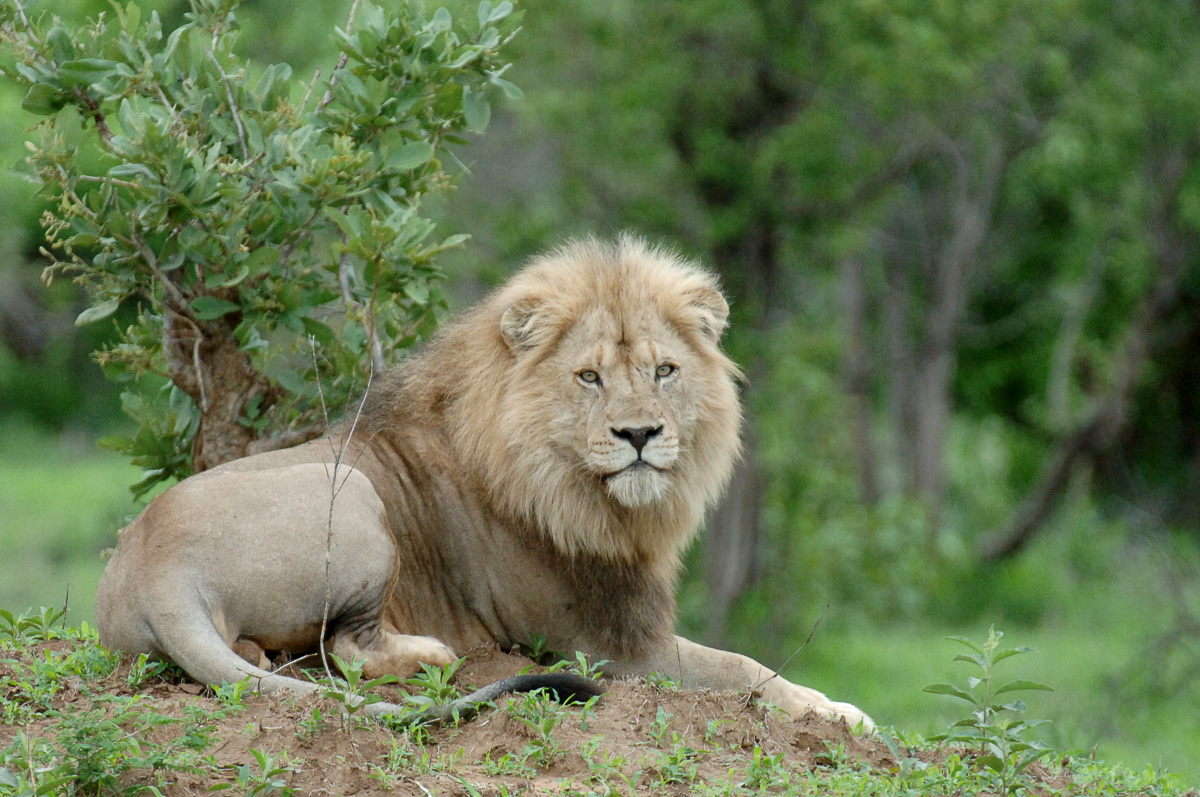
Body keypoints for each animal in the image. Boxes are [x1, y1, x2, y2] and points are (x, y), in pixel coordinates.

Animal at [95, 236, 872, 728]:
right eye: (588, 377)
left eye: (664, 371)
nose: (640, 435)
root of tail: (158, 570)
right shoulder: (612, 646)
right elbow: (746, 667)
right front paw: (840, 712)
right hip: (352, 494)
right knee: (347, 650)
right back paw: (436, 653)